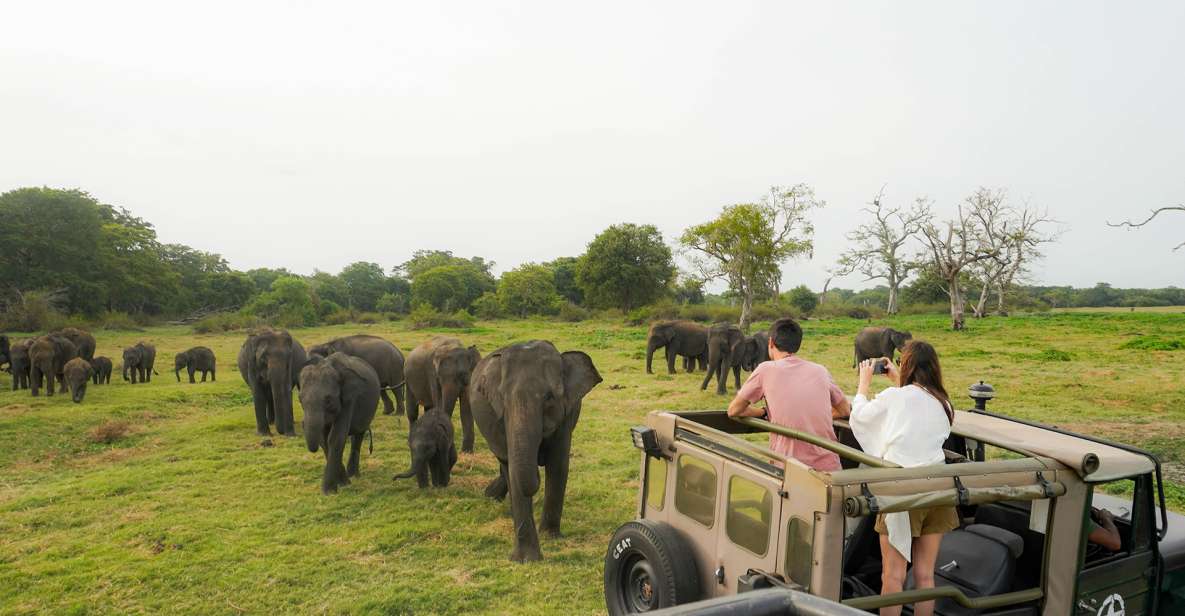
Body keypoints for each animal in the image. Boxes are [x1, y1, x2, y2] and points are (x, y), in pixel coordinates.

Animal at [298, 353, 376, 492]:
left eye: (328, 400)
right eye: (299, 399)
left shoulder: (349, 399)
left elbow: (336, 437)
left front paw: (329, 491)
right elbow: (324, 439)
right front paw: (343, 483)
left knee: (359, 434)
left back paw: (354, 475)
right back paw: (351, 476)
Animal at [469, 338, 601, 561]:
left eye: (549, 397)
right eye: (503, 398)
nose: (538, 460)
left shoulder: (566, 415)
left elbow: (558, 465)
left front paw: (550, 536)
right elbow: (514, 469)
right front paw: (525, 559)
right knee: (504, 462)